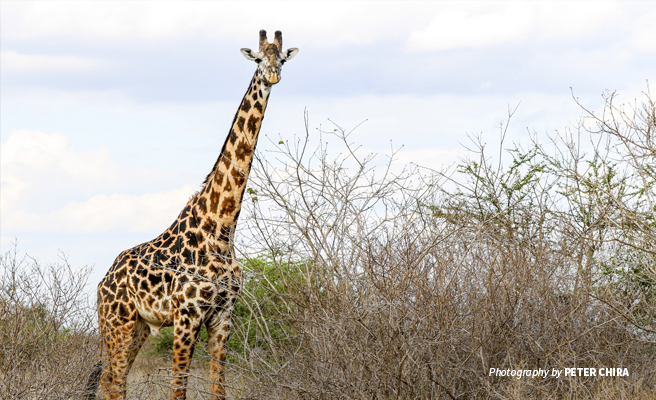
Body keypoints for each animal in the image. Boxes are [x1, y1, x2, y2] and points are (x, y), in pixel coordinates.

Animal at [87, 30, 300, 400]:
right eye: (259, 59)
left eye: (282, 58)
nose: (273, 75)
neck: (222, 227)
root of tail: (103, 283)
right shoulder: (187, 314)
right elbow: (178, 387)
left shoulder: (223, 315)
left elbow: (218, 387)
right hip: (118, 321)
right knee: (111, 380)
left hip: (139, 325)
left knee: (116, 379)